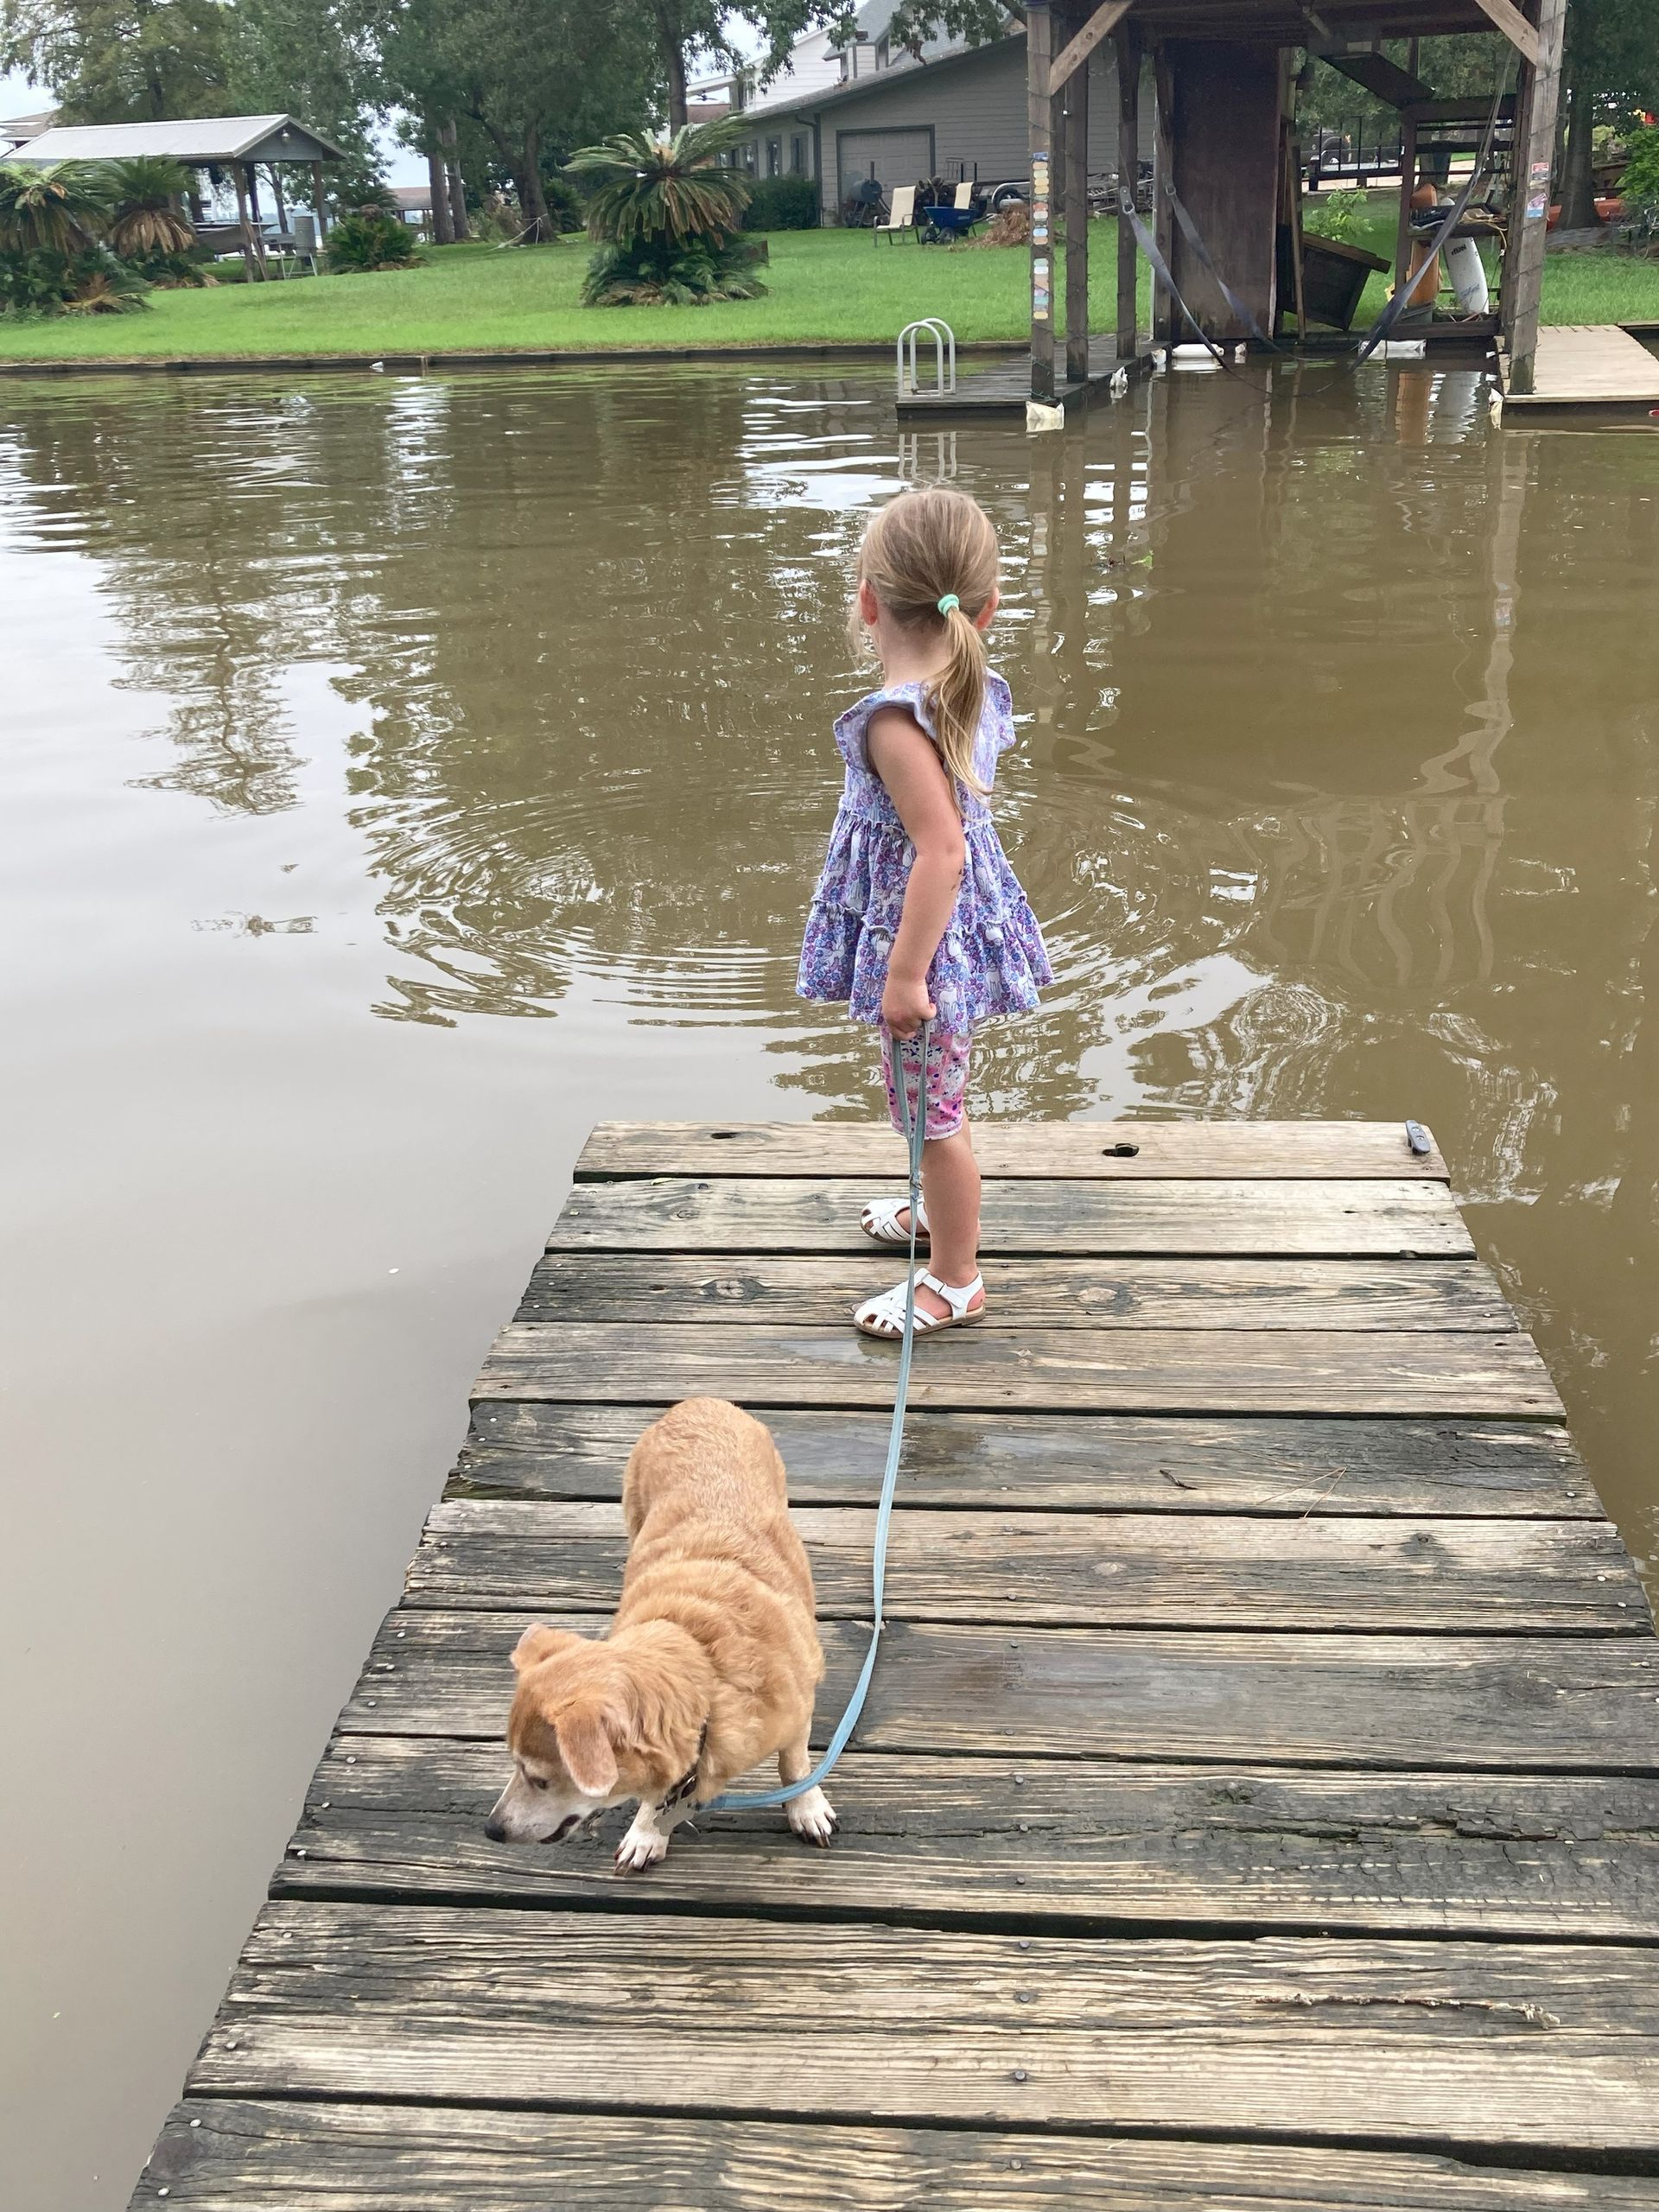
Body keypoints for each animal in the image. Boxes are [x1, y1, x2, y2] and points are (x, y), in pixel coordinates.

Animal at [486, 1397, 836, 1866]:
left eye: (540, 1780)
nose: (491, 1830)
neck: (705, 1665)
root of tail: (698, 1402)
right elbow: (659, 1792)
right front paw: (647, 1831)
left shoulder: (798, 1714)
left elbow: (795, 1766)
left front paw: (806, 1807)